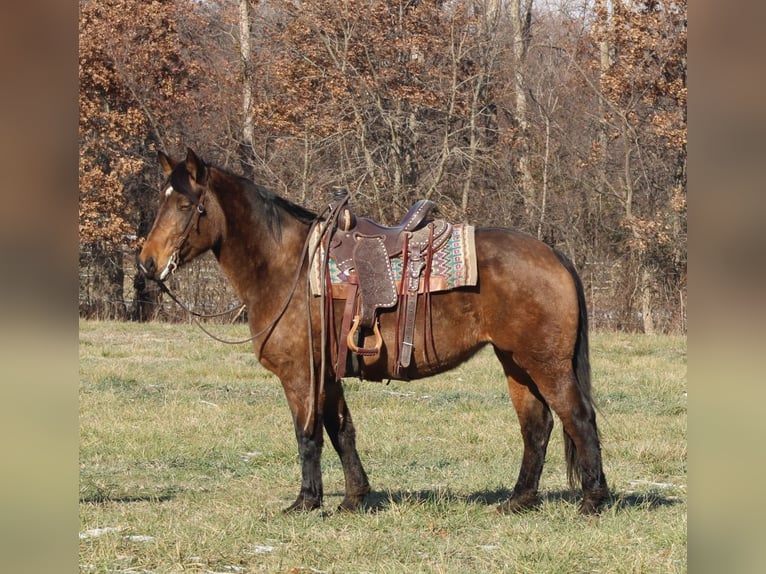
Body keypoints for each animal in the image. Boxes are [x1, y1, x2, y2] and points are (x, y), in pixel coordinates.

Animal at [138, 148, 609, 515]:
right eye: (161, 201)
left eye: (185, 206)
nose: (146, 261)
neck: (284, 267)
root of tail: (554, 254)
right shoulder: (328, 376)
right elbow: (341, 431)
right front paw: (354, 498)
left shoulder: (301, 375)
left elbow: (307, 435)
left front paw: (306, 502)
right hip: (515, 363)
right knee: (537, 427)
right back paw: (519, 500)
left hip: (545, 363)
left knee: (578, 418)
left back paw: (592, 501)